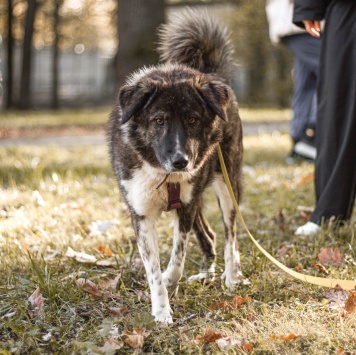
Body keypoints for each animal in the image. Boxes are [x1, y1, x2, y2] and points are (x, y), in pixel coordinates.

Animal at [108, 9, 245, 324]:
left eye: (192, 119)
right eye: (159, 120)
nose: (181, 161)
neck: (163, 174)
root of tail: (213, 75)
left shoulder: (184, 208)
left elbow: (178, 256)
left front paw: (172, 280)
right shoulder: (142, 215)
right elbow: (153, 271)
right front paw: (161, 311)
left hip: (226, 185)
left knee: (230, 236)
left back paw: (231, 277)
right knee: (210, 237)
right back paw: (206, 275)